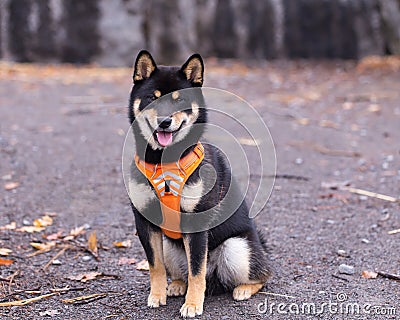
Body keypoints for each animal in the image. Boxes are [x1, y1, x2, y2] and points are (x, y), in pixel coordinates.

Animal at [128, 50, 272, 318]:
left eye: (180, 101)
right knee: (183, 272)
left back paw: (244, 289)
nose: (164, 121)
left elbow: (197, 270)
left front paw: (193, 304)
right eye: (151, 99)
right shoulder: (145, 221)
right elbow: (156, 266)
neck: (165, 163)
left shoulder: (196, 224)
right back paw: (176, 285)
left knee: (262, 274)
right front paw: (157, 295)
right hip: (170, 246)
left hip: (236, 248)